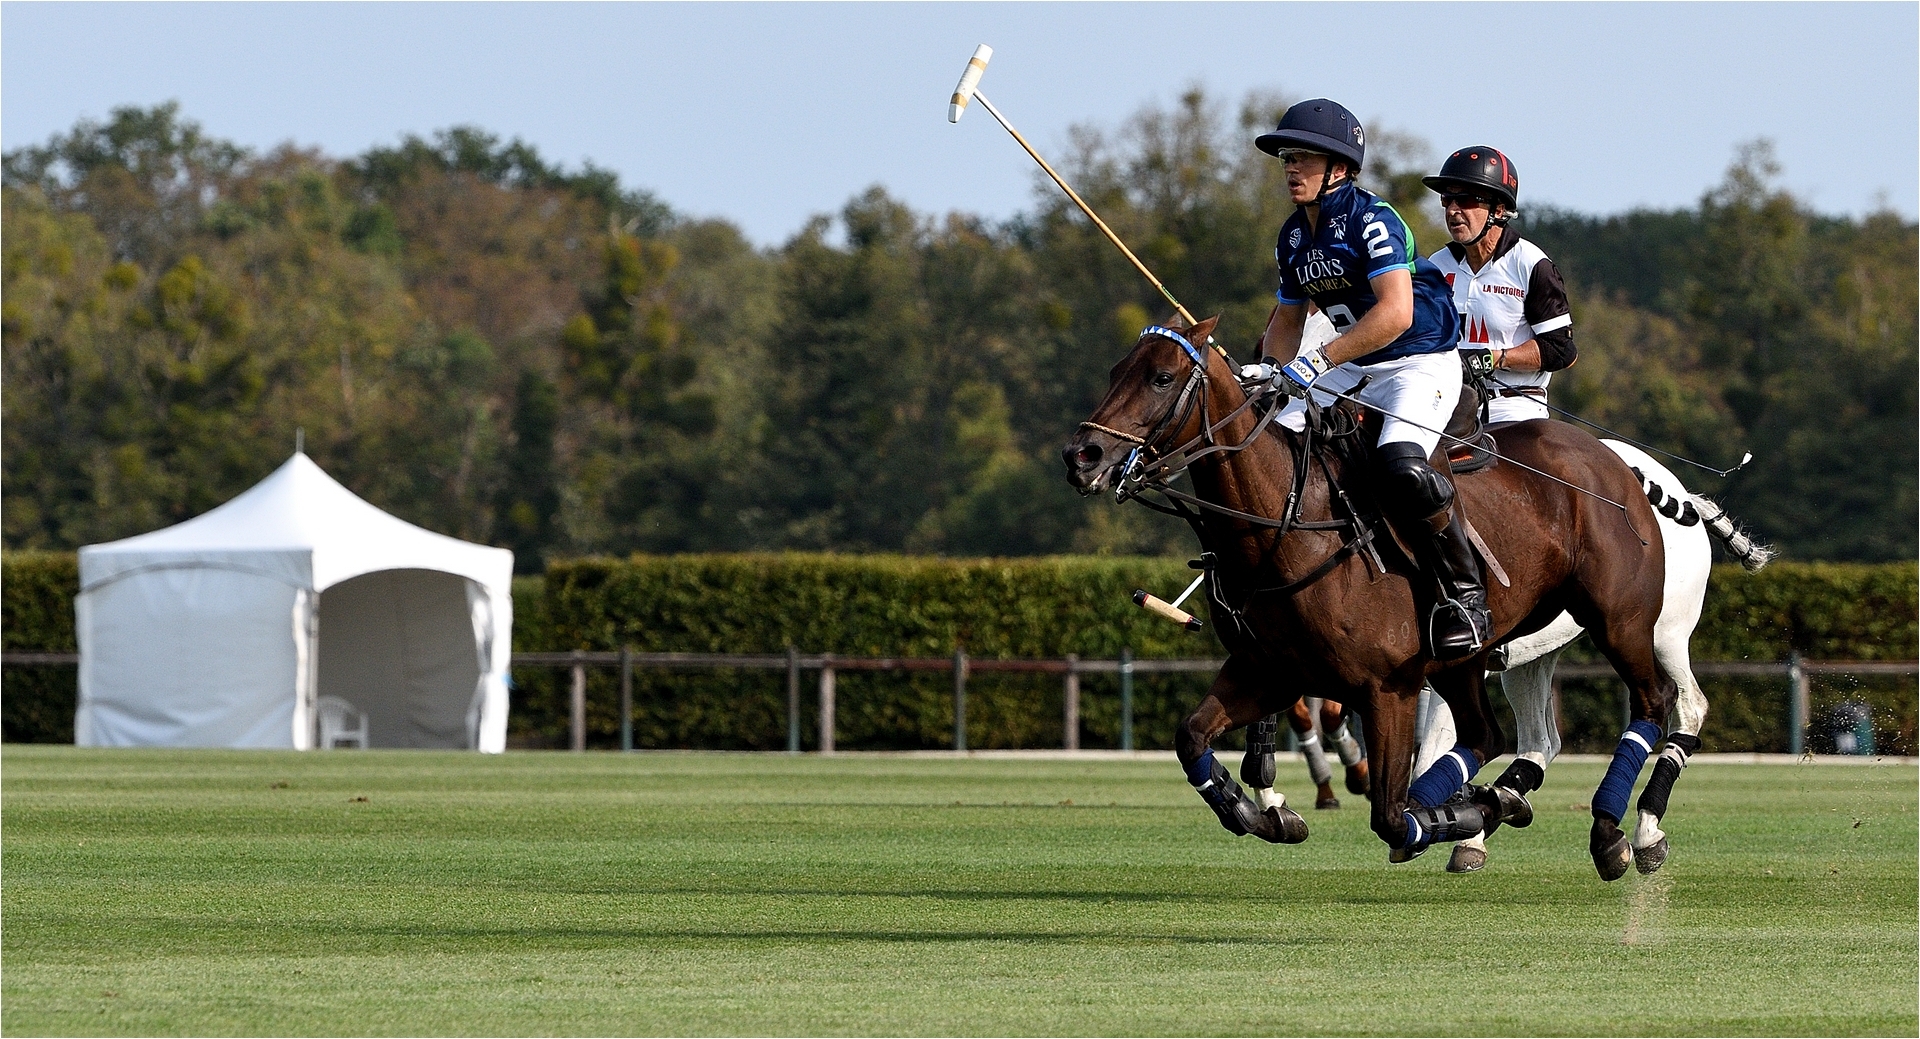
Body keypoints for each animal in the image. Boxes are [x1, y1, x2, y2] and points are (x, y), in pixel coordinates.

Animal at [1062, 315, 1678, 878]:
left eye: (1162, 378)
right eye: (1116, 371)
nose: (1082, 455)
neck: (1288, 522)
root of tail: (1616, 460)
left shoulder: (1388, 689)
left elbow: (1389, 815)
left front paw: (1453, 813)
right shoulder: (1270, 671)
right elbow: (1191, 735)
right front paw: (1262, 813)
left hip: (1619, 619)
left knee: (1655, 701)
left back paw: (1612, 833)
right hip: (1463, 658)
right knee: (1486, 733)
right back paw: (1500, 800)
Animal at [1410, 442, 1771, 873]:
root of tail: (1679, 492)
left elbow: (1431, 754)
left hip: (1660, 633)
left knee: (1688, 705)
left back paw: (1646, 831)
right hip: (1533, 657)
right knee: (1541, 739)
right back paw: (1497, 810)